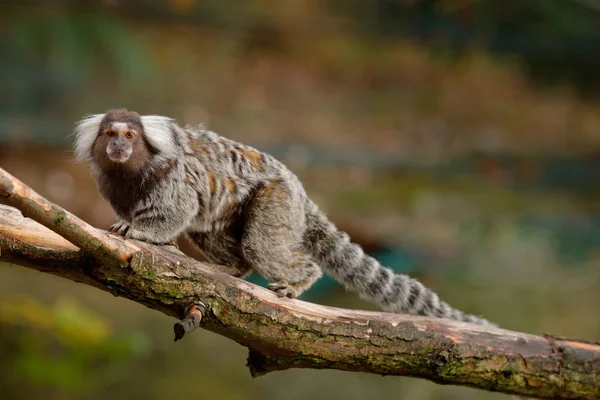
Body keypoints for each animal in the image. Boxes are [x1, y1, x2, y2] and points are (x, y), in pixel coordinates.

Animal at [75, 108, 494, 324]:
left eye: (129, 136)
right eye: (110, 133)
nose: (117, 145)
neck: (132, 171)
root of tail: (299, 190)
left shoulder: (173, 175)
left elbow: (178, 210)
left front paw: (142, 232)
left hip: (275, 200)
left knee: (262, 248)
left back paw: (298, 281)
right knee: (218, 236)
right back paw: (230, 268)